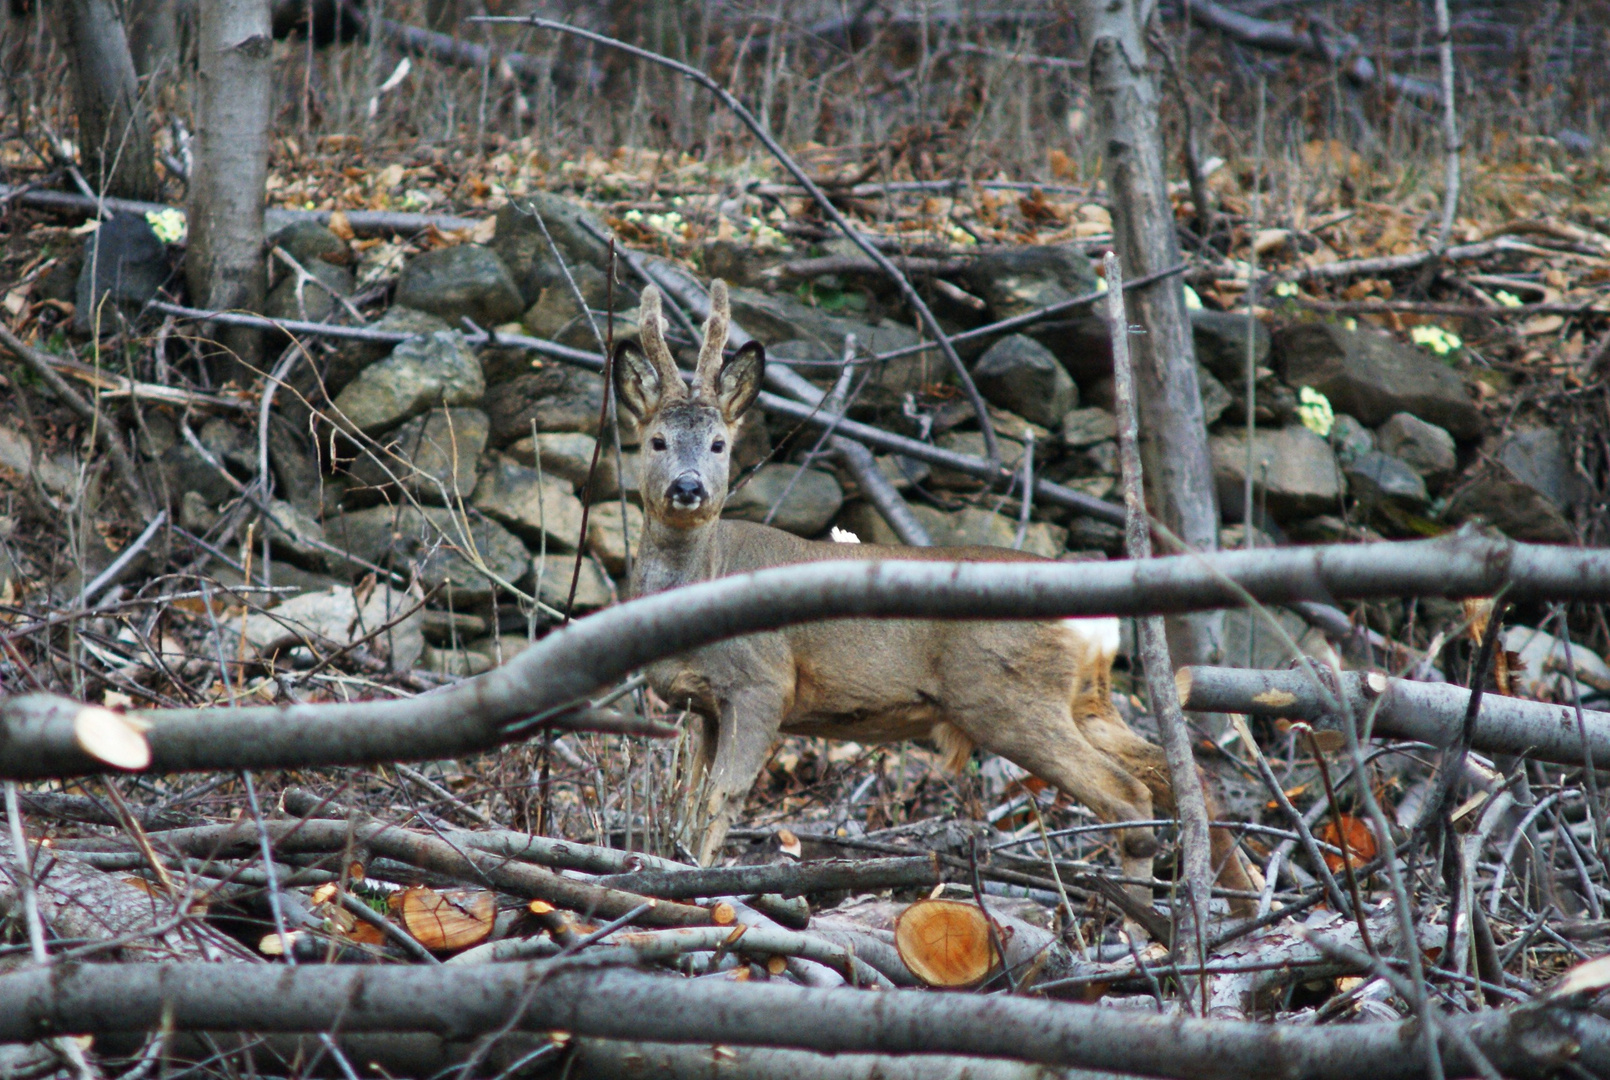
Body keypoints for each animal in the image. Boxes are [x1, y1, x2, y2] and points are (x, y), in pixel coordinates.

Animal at [615, 276, 1255, 914]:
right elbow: (690, 803)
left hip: (1006, 695)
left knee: (1127, 794)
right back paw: (1238, 902)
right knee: (1180, 775)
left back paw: (1139, 922)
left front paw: (697, 887)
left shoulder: (762, 681)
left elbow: (721, 800)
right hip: (1087, 699)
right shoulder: (705, 705)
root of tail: (1096, 621)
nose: (688, 488)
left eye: (720, 444)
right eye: (657, 440)